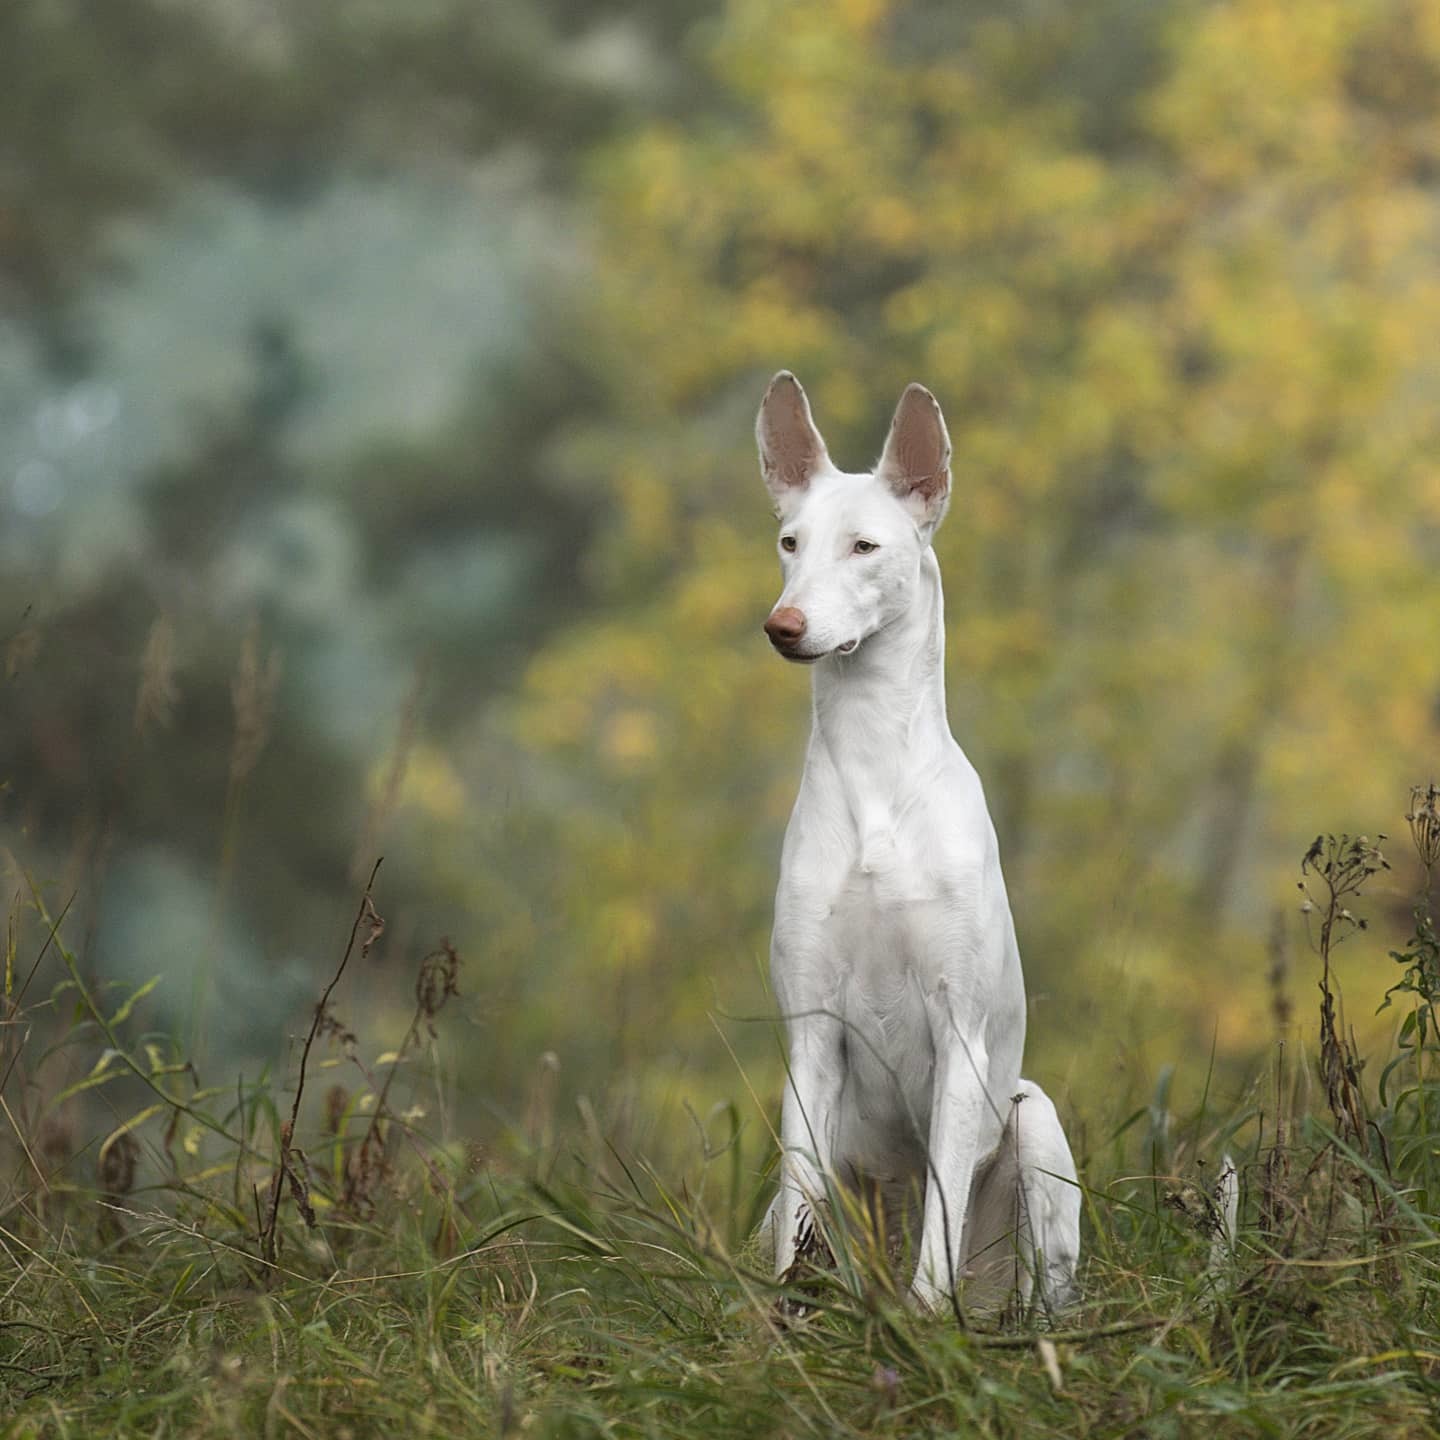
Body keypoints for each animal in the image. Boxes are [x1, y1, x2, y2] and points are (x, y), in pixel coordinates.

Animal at [754, 371, 1082, 1319]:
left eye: (865, 545)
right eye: (789, 541)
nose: (783, 624)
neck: (875, 778)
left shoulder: (960, 1033)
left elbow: (941, 1199)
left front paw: (924, 1319)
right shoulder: (808, 1033)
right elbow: (800, 1190)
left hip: (1033, 1119)